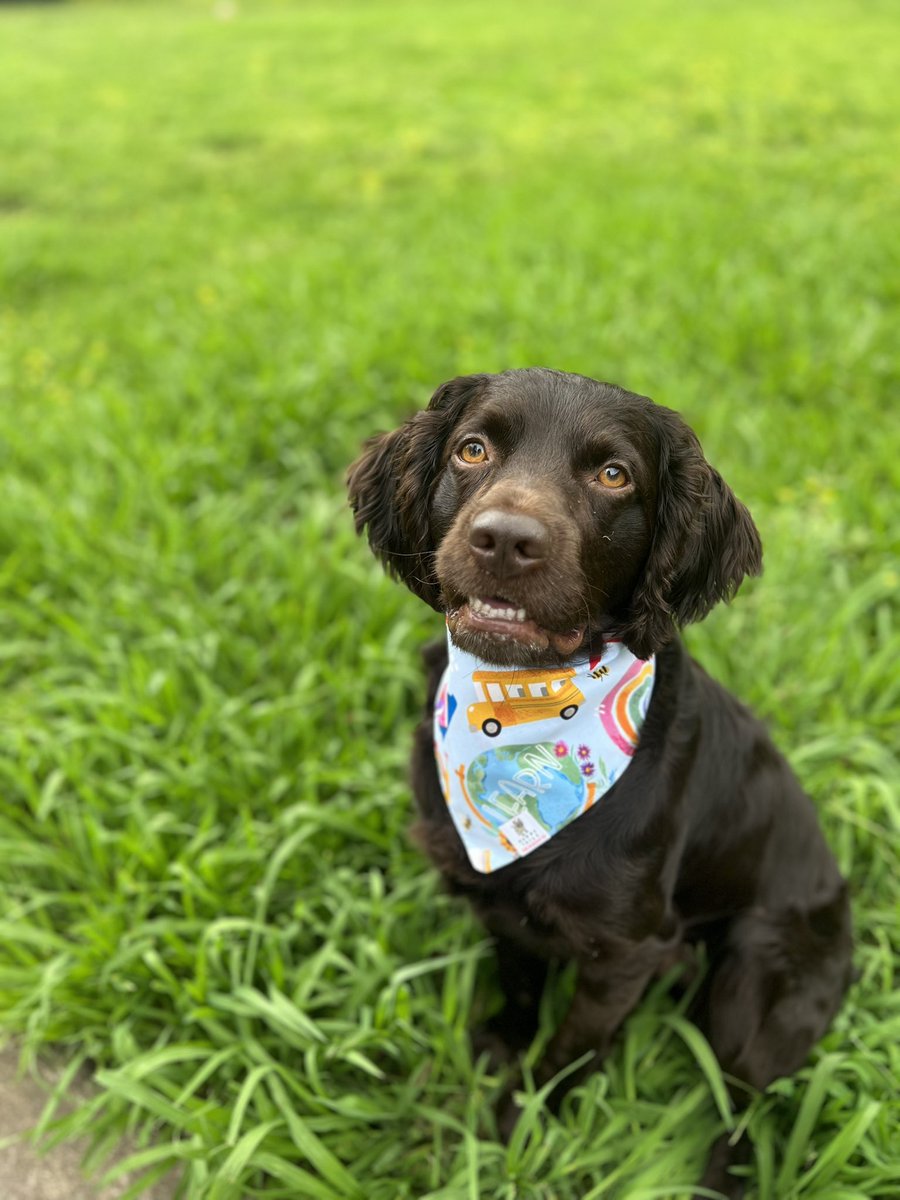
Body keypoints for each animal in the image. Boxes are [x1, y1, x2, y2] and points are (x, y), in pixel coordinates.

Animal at [348, 369, 854, 1195]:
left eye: (613, 475)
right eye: (472, 449)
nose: (504, 540)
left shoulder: (624, 956)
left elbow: (570, 1051)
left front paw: (523, 1121)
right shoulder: (497, 898)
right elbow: (519, 980)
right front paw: (503, 1043)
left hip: (755, 983)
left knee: (743, 1105)